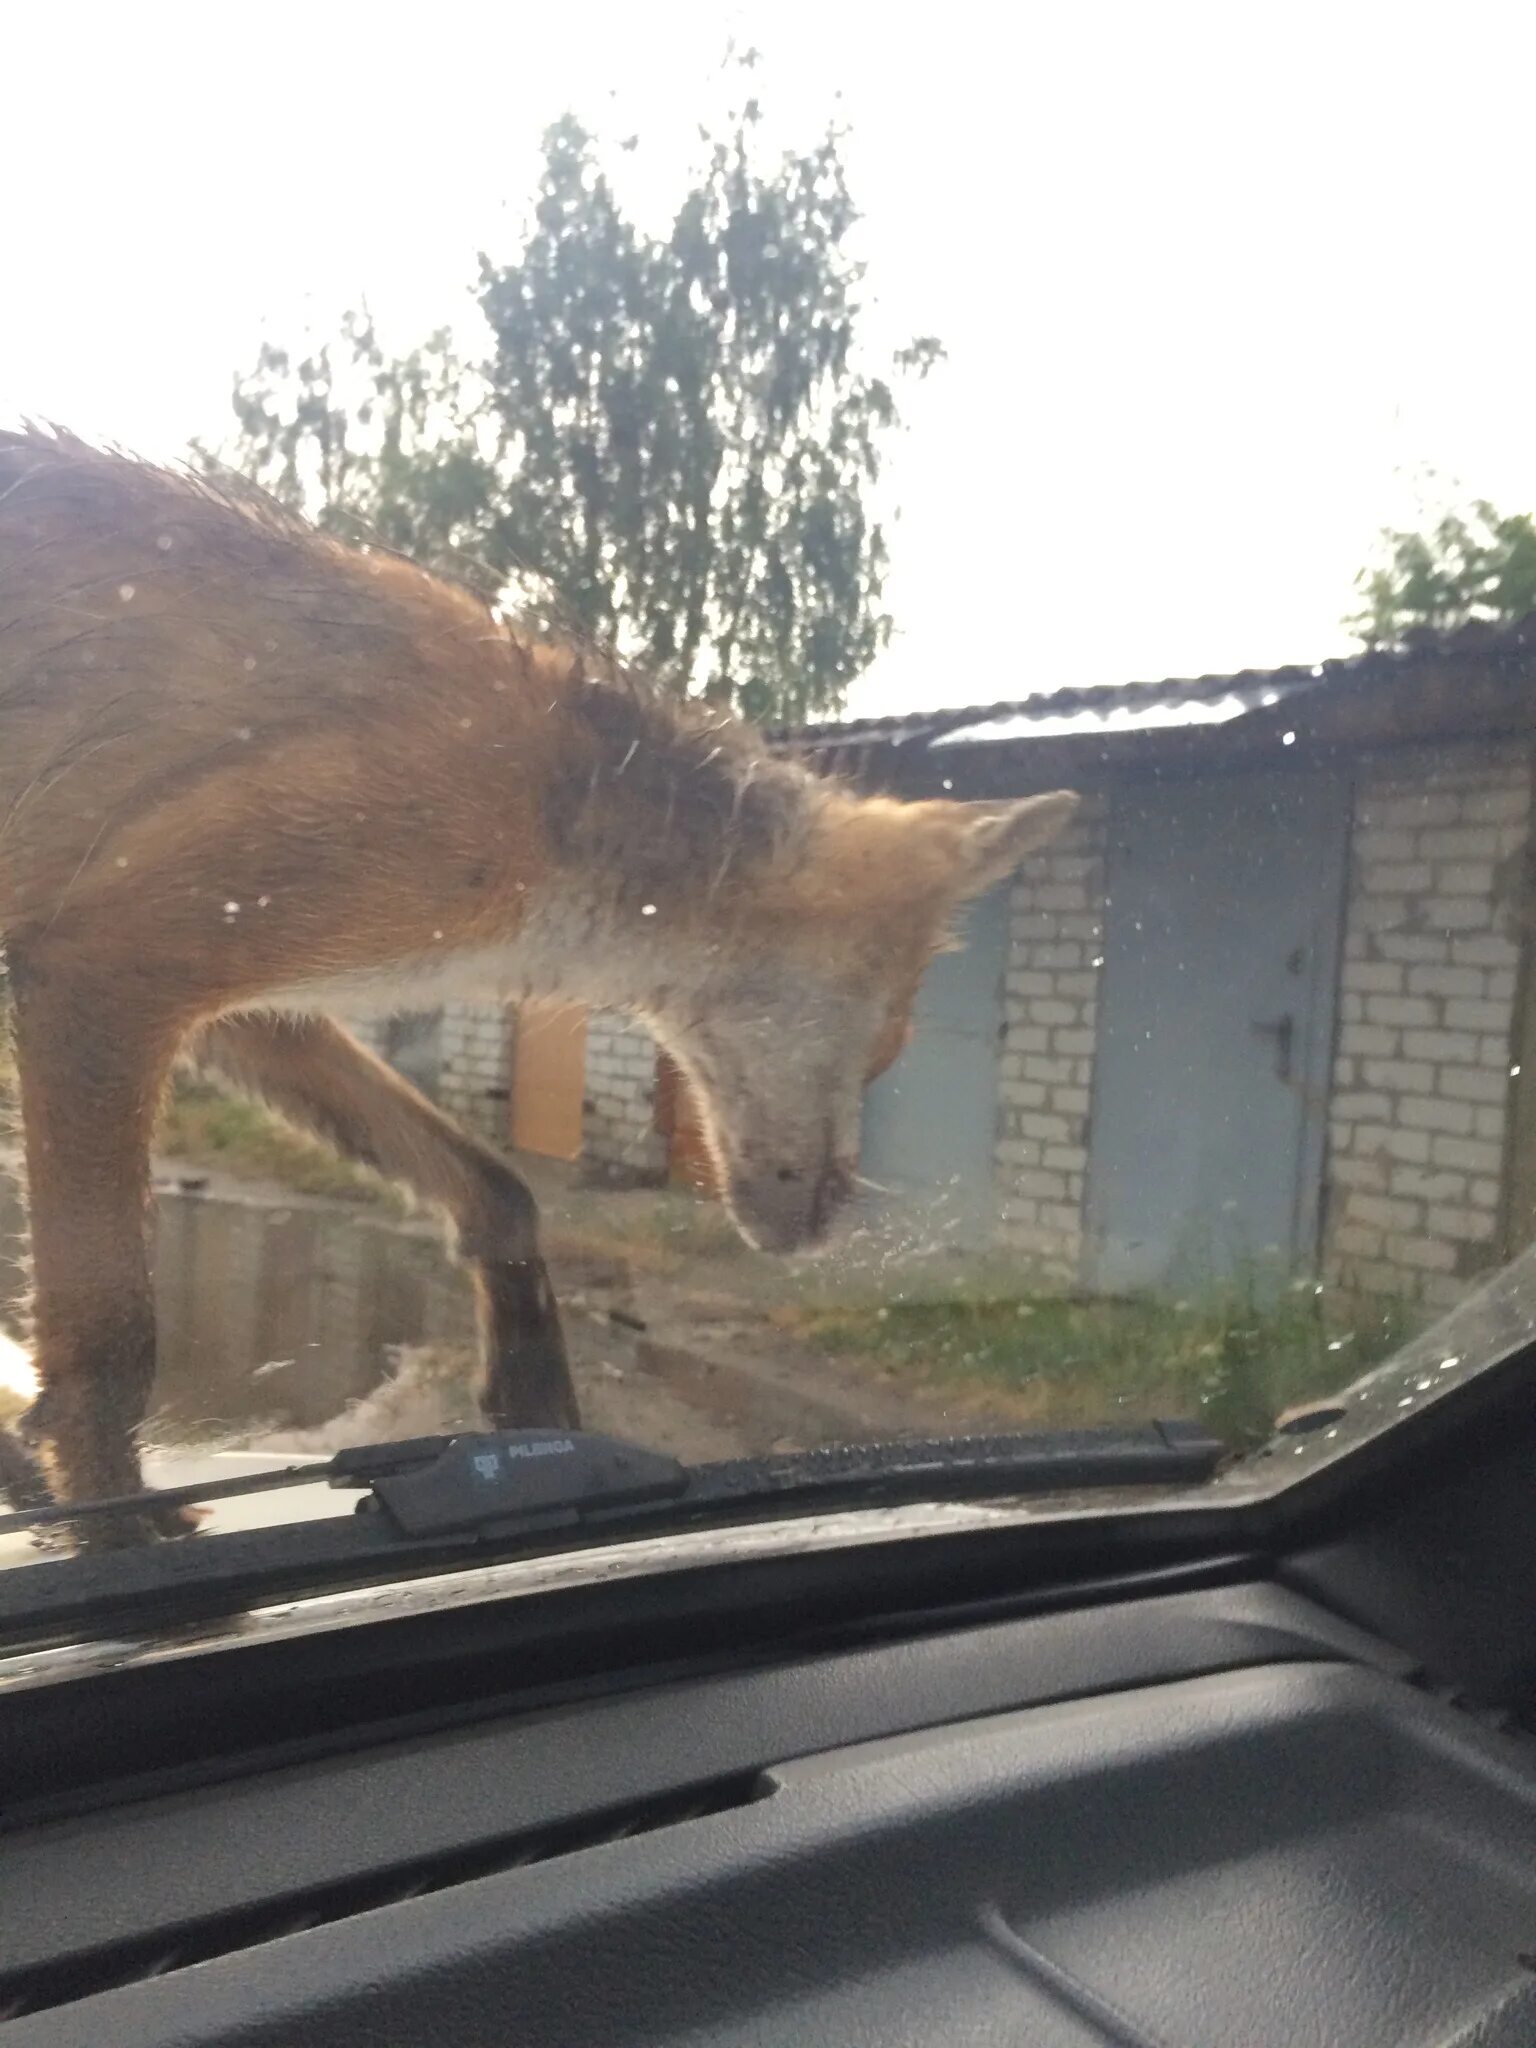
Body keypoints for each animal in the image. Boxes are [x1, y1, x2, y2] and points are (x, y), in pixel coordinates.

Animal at [0, 436, 1081, 1548]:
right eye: (885, 1051)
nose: (826, 1224)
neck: (540, 810)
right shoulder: (105, 970)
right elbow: (106, 1340)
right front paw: (117, 1541)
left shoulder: (253, 1009)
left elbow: (498, 1190)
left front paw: (534, 1404)